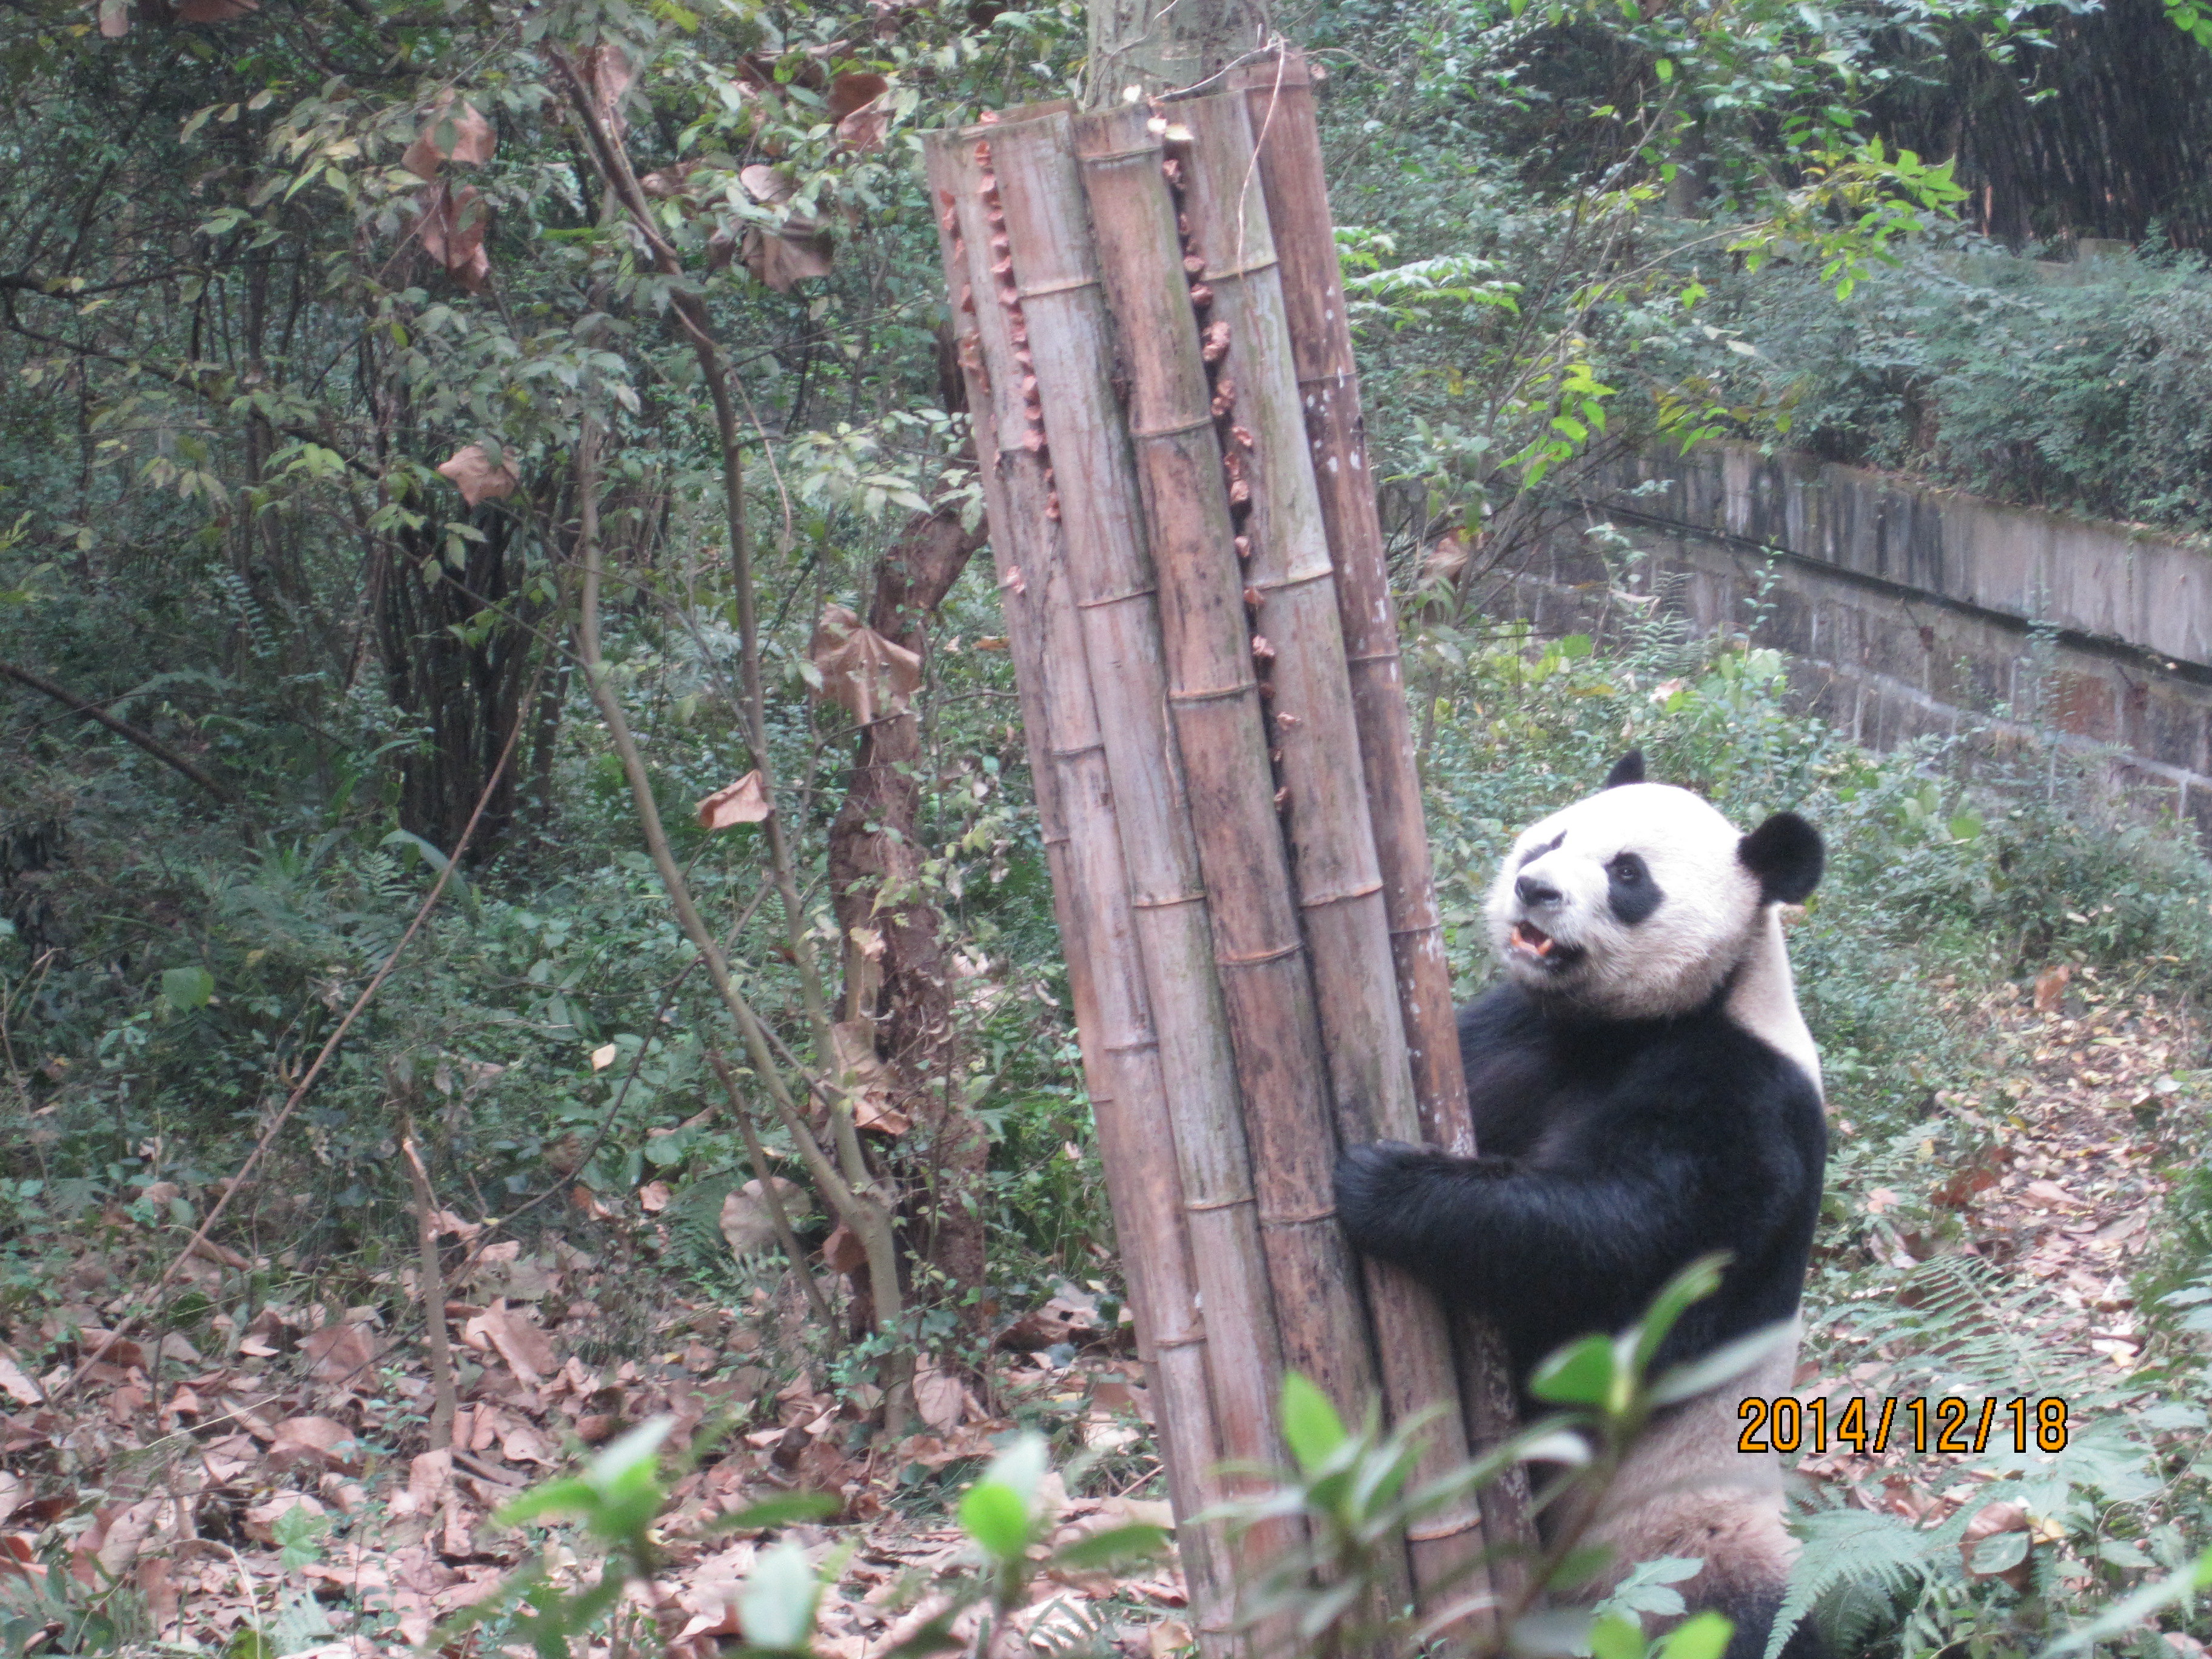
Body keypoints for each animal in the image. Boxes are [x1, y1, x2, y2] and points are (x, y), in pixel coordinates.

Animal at [1327, 752, 1831, 1659]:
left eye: (1629, 875)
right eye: (1551, 839)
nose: (1534, 889)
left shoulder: (1742, 1096)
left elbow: (1622, 1244)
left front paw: (1388, 1184)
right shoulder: (1513, 1033)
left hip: (1680, 1541)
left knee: (1750, 1620)